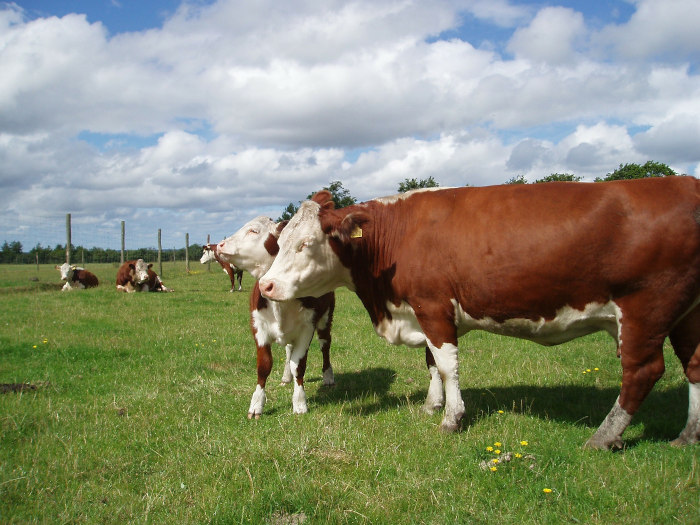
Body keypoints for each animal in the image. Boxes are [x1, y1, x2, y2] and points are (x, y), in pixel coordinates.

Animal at [217, 214, 334, 418]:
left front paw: (300, 402)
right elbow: (264, 366)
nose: (220, 245)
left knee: (324, 344)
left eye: (254, 230)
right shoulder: (259, 327)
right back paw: (286, 377)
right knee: (288, 351)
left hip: (325, 318)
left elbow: (299, 365)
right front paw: (256, 404)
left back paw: (328, 376)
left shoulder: (307, 328)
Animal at [260, 177, 700, 450]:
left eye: (305, 244)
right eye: (279, 242)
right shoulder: (425, 312)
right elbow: (432, 362)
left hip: (646, 308)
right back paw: (688, 434)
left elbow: (447, 364)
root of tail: (683, 183)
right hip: (686, 315)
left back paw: (604, 436)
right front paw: (432, 405)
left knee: (643, 371)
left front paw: (452, 418)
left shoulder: (433, 306)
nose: (265, 285)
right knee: (693, 365)